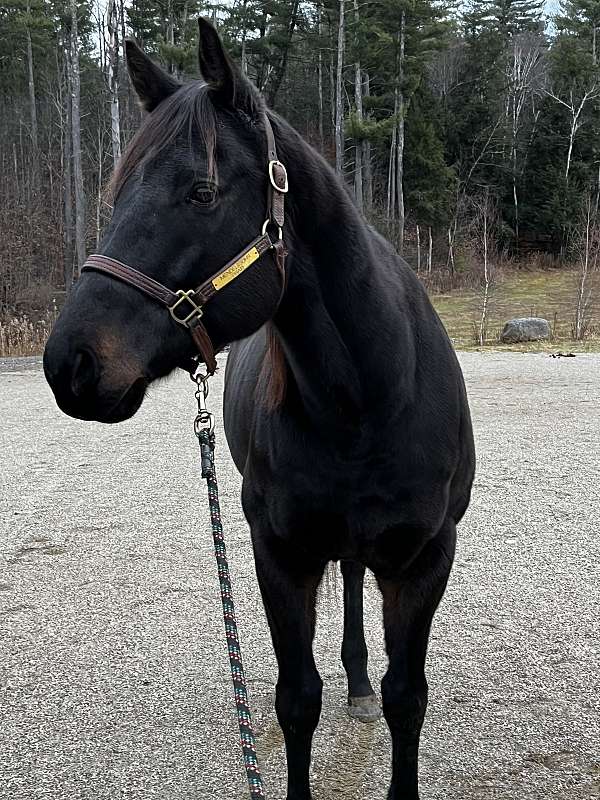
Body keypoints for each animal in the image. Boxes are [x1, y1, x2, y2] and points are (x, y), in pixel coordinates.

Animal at [44, 19, 475, 800]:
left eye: (202, 191)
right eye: (115, 196)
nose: (71, 364)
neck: (366, 403)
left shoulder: (426, 557)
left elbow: (408, 697)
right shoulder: (279, 552)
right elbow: (296, 698)